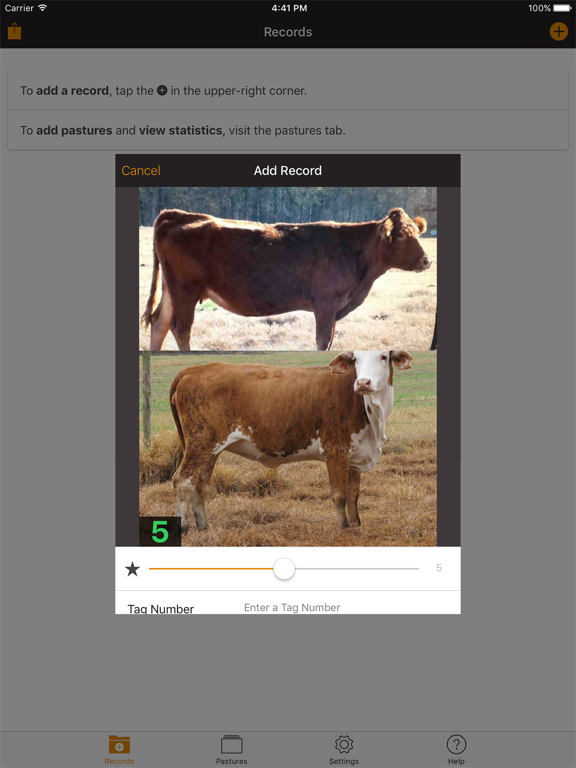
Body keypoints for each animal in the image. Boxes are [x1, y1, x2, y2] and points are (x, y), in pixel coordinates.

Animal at [142, 208, 430, 351]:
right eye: (401, 235)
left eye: (417, 232)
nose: (427, 260)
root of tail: (175, 214)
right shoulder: (325, 304)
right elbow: (322, 341)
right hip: (186, 289)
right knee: (180, 327)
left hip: (172, 290)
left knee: (159, 323)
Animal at [169, 350, 414, 532]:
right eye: (356, 359)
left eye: (383, 357)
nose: (363, 382)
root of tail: (193, 370)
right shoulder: (336, 451)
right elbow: (340, 494)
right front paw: (343, 527)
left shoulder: (356, 453)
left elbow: (353, 493)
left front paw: (355, 524)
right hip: (200, 444)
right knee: (182, 480)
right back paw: (183, 526)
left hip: (209, 449)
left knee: (199, 482)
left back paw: (203, 525)